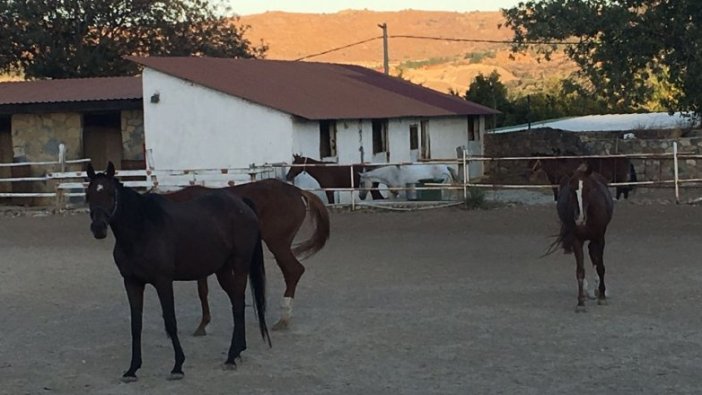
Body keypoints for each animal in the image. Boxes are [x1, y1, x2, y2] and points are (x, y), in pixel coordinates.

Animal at [86, 162, 272, 382]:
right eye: (89, 193)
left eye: (110, 193)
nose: (98, 228)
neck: (141, 230)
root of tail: (242, 205)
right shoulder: (132, 282)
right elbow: (136, 325)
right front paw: (132, 369)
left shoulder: (163, 281)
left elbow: (170, 321)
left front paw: (177, 366)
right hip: (223, 270)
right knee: (237, 301)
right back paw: (236, 352)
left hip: (241, 265)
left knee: (238, 304)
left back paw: (231, 357)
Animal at [164, 178, 332, 332]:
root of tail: (297, 191)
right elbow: (202, 290)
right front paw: (204, 323)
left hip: (277, 243)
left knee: (293, 271)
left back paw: (284, 317)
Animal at [548, 164, 612, 312]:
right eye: (572, 190)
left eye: (589, 189)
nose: (580, 218)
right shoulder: (576, 240)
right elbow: (580, 271)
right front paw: (580, 302)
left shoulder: (599, 238)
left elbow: (600, 267)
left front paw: (602, 296)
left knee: (594, 255)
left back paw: (597, 291)